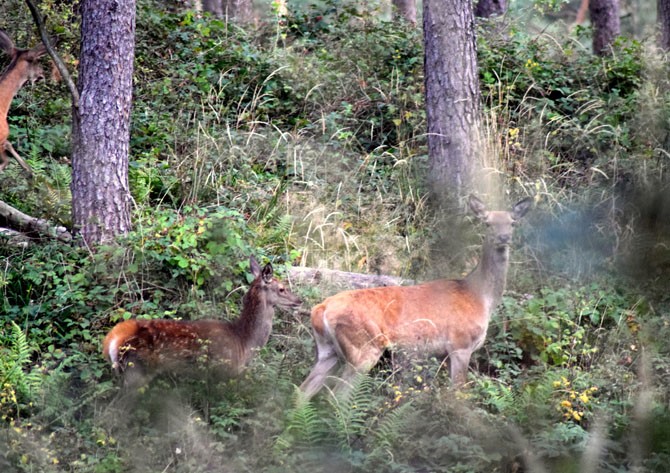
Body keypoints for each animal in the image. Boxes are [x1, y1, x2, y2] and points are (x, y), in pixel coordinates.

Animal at [102, 254, 302, 388]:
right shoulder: (223, 373)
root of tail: (113, 339)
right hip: (137, 369)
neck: (243, 342)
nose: (299, 301)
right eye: (282, 288)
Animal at [302, 195, 532, 398]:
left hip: (327, 350)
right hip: (363, 347)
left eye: (512, 223)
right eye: (487, 223)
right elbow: (459, 393)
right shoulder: (460, 344)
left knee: (302, 392)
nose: (504, 238)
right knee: (337, 395)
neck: (480, 296)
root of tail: (321, 309)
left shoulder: (445, 354)